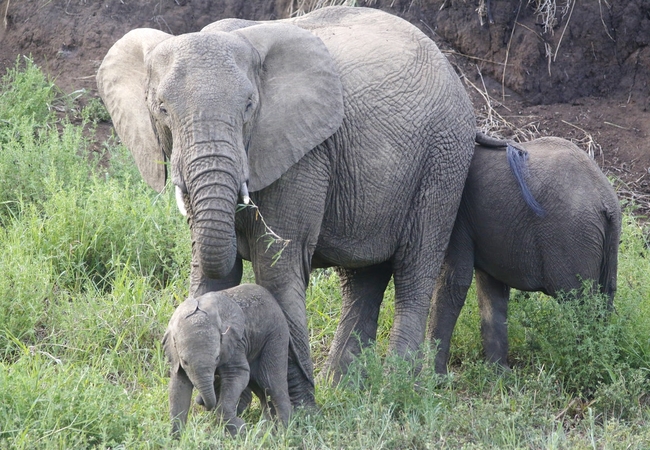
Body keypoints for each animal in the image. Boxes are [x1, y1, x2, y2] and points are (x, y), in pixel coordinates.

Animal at [96, 5, 474, 404]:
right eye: (162, 109)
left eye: (249, 107)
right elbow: (213, 273)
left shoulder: (304, 154)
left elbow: (276, 270)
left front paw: (300, 409)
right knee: (362, 278)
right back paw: (345, 390)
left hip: (444, 158)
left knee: (415, 269)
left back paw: (397, 393)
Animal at [162, 284, 292, 436]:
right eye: (184, 362)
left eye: (217, 357)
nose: (200, 401)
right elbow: (178, 384)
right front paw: (175, 436)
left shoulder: (235, 343)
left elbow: (237, 374)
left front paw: (239, 430)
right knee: (259, 386)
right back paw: (267, 430)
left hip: (276, 335)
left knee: (271, 382)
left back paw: (283, 432)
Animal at [428, 136, 620, 372]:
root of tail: (605, 199)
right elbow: (492, 290)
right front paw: (499, 374)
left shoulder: (458, 215)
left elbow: (452, 281)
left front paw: (431, 376)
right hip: (606, 240)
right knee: (605, 296)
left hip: (572, 235)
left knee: (578, 303)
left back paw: (585, 366)